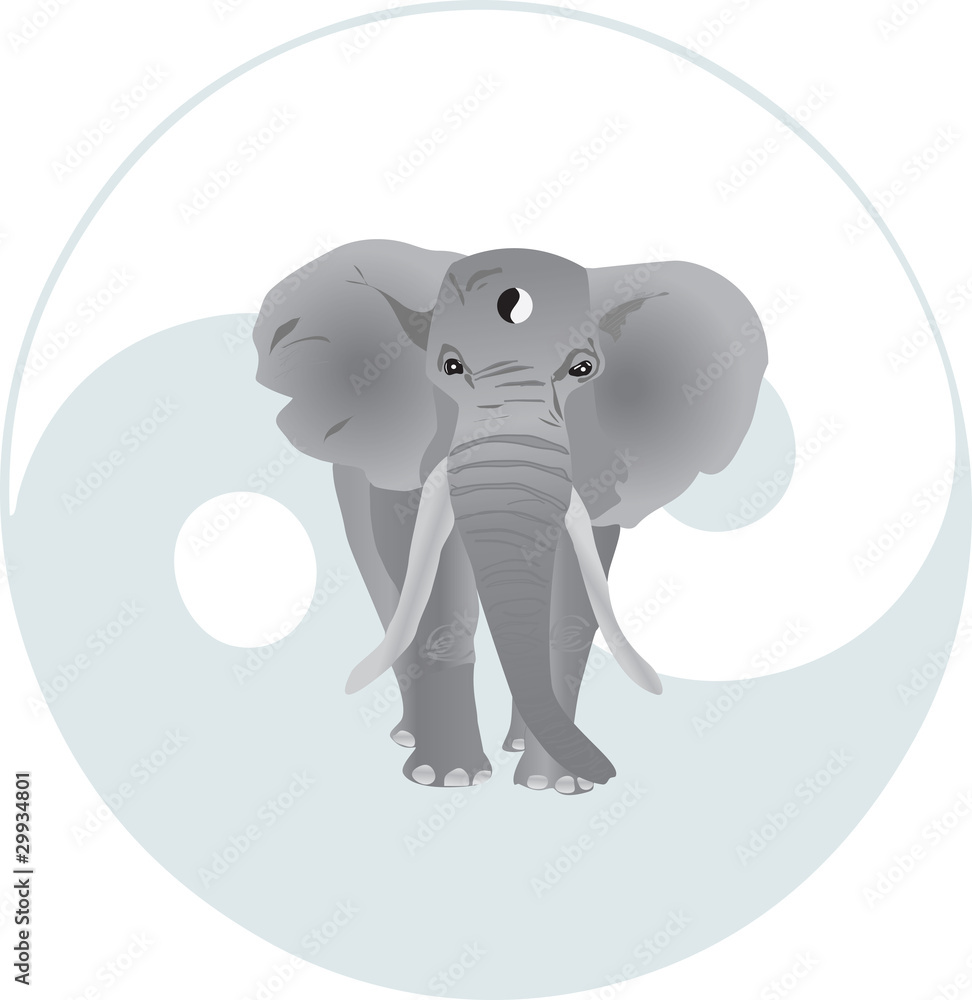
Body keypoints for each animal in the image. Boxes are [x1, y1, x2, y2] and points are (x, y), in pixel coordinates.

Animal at [253, 239, 767, 793]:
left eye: (583, 369)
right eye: (450, 367)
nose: (609, 772)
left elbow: (572, 608)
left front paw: (558, 785)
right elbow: (437, 594)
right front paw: (449, 778)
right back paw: (410, 738)